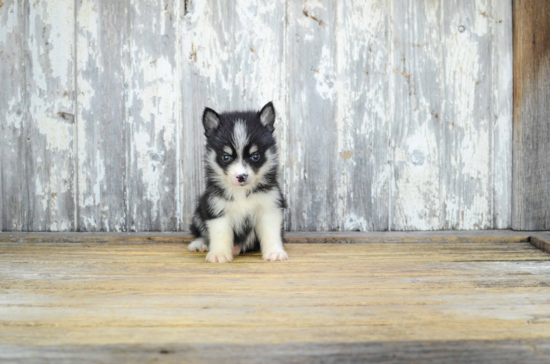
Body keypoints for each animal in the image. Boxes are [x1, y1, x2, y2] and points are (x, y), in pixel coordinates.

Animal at [190, 101, 288, 264]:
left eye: (255, 156)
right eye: (226, 157)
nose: (241, 176)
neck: (241, 192)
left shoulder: (269, 207)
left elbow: (271, 233)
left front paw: (274, 252)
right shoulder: (216, 208)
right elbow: (219, 234)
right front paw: (219, 254)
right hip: (199, 211)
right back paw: (199, 243)